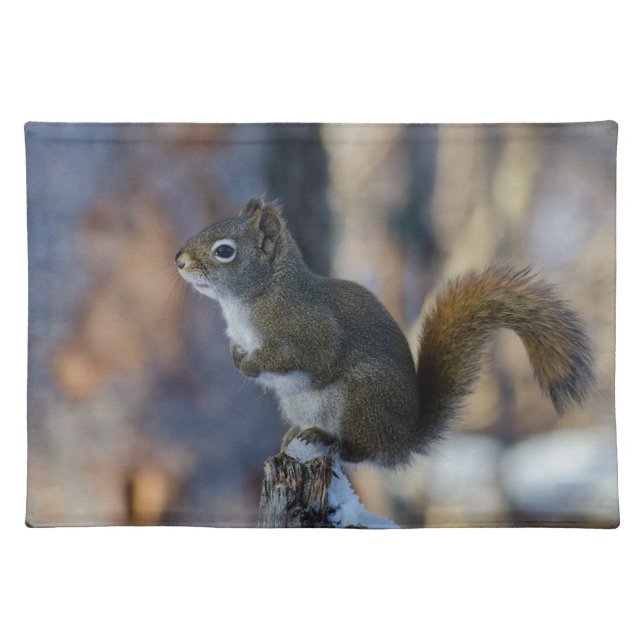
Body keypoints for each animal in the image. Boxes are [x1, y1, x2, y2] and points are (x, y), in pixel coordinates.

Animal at [175, 197, 594, 467]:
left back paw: (331, 441)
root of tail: (404, 438)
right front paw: (236, 358)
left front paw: (251, 365)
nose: (178, 260)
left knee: (364, 451)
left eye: (224, 251)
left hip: (362, 397)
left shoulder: (311, 329)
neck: (251, 299)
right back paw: (300, 434)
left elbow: (302, 356)